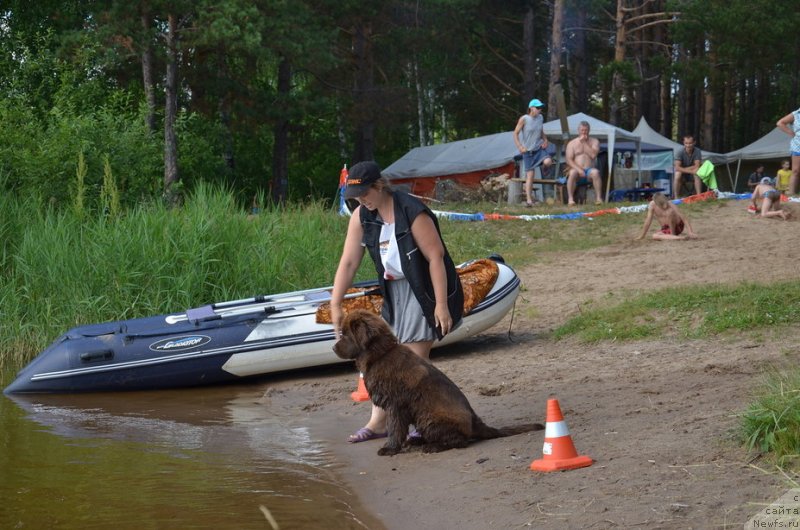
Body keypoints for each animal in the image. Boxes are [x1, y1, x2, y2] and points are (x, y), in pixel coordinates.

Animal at [332, 310, 544, 454]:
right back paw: (418, 441)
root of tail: (476, 422)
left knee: (460, 441)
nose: (333, 348)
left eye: (344, 334)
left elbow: (395, 429)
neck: (380, 354)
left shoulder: (395, 405)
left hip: (429, 418)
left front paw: (390, 449)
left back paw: (432, 446)